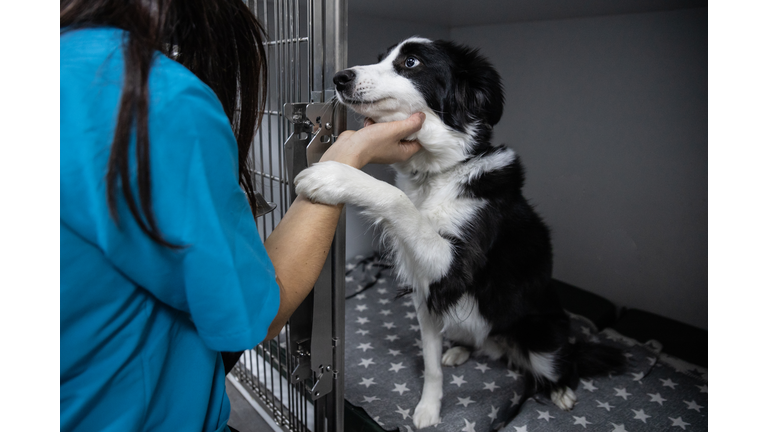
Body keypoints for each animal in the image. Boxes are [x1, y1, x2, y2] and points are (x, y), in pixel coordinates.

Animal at [294, 37, 624, 428]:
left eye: (411, 62)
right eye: (381, 58)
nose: (339, 78)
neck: (438, 171)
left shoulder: (455, 268)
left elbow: (396, 199)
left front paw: (333, 176)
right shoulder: (427, 291)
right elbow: (431, 364)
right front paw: (428, 408)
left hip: (542, 337)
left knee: (564, 362)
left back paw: (560, 390)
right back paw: (460, 350)